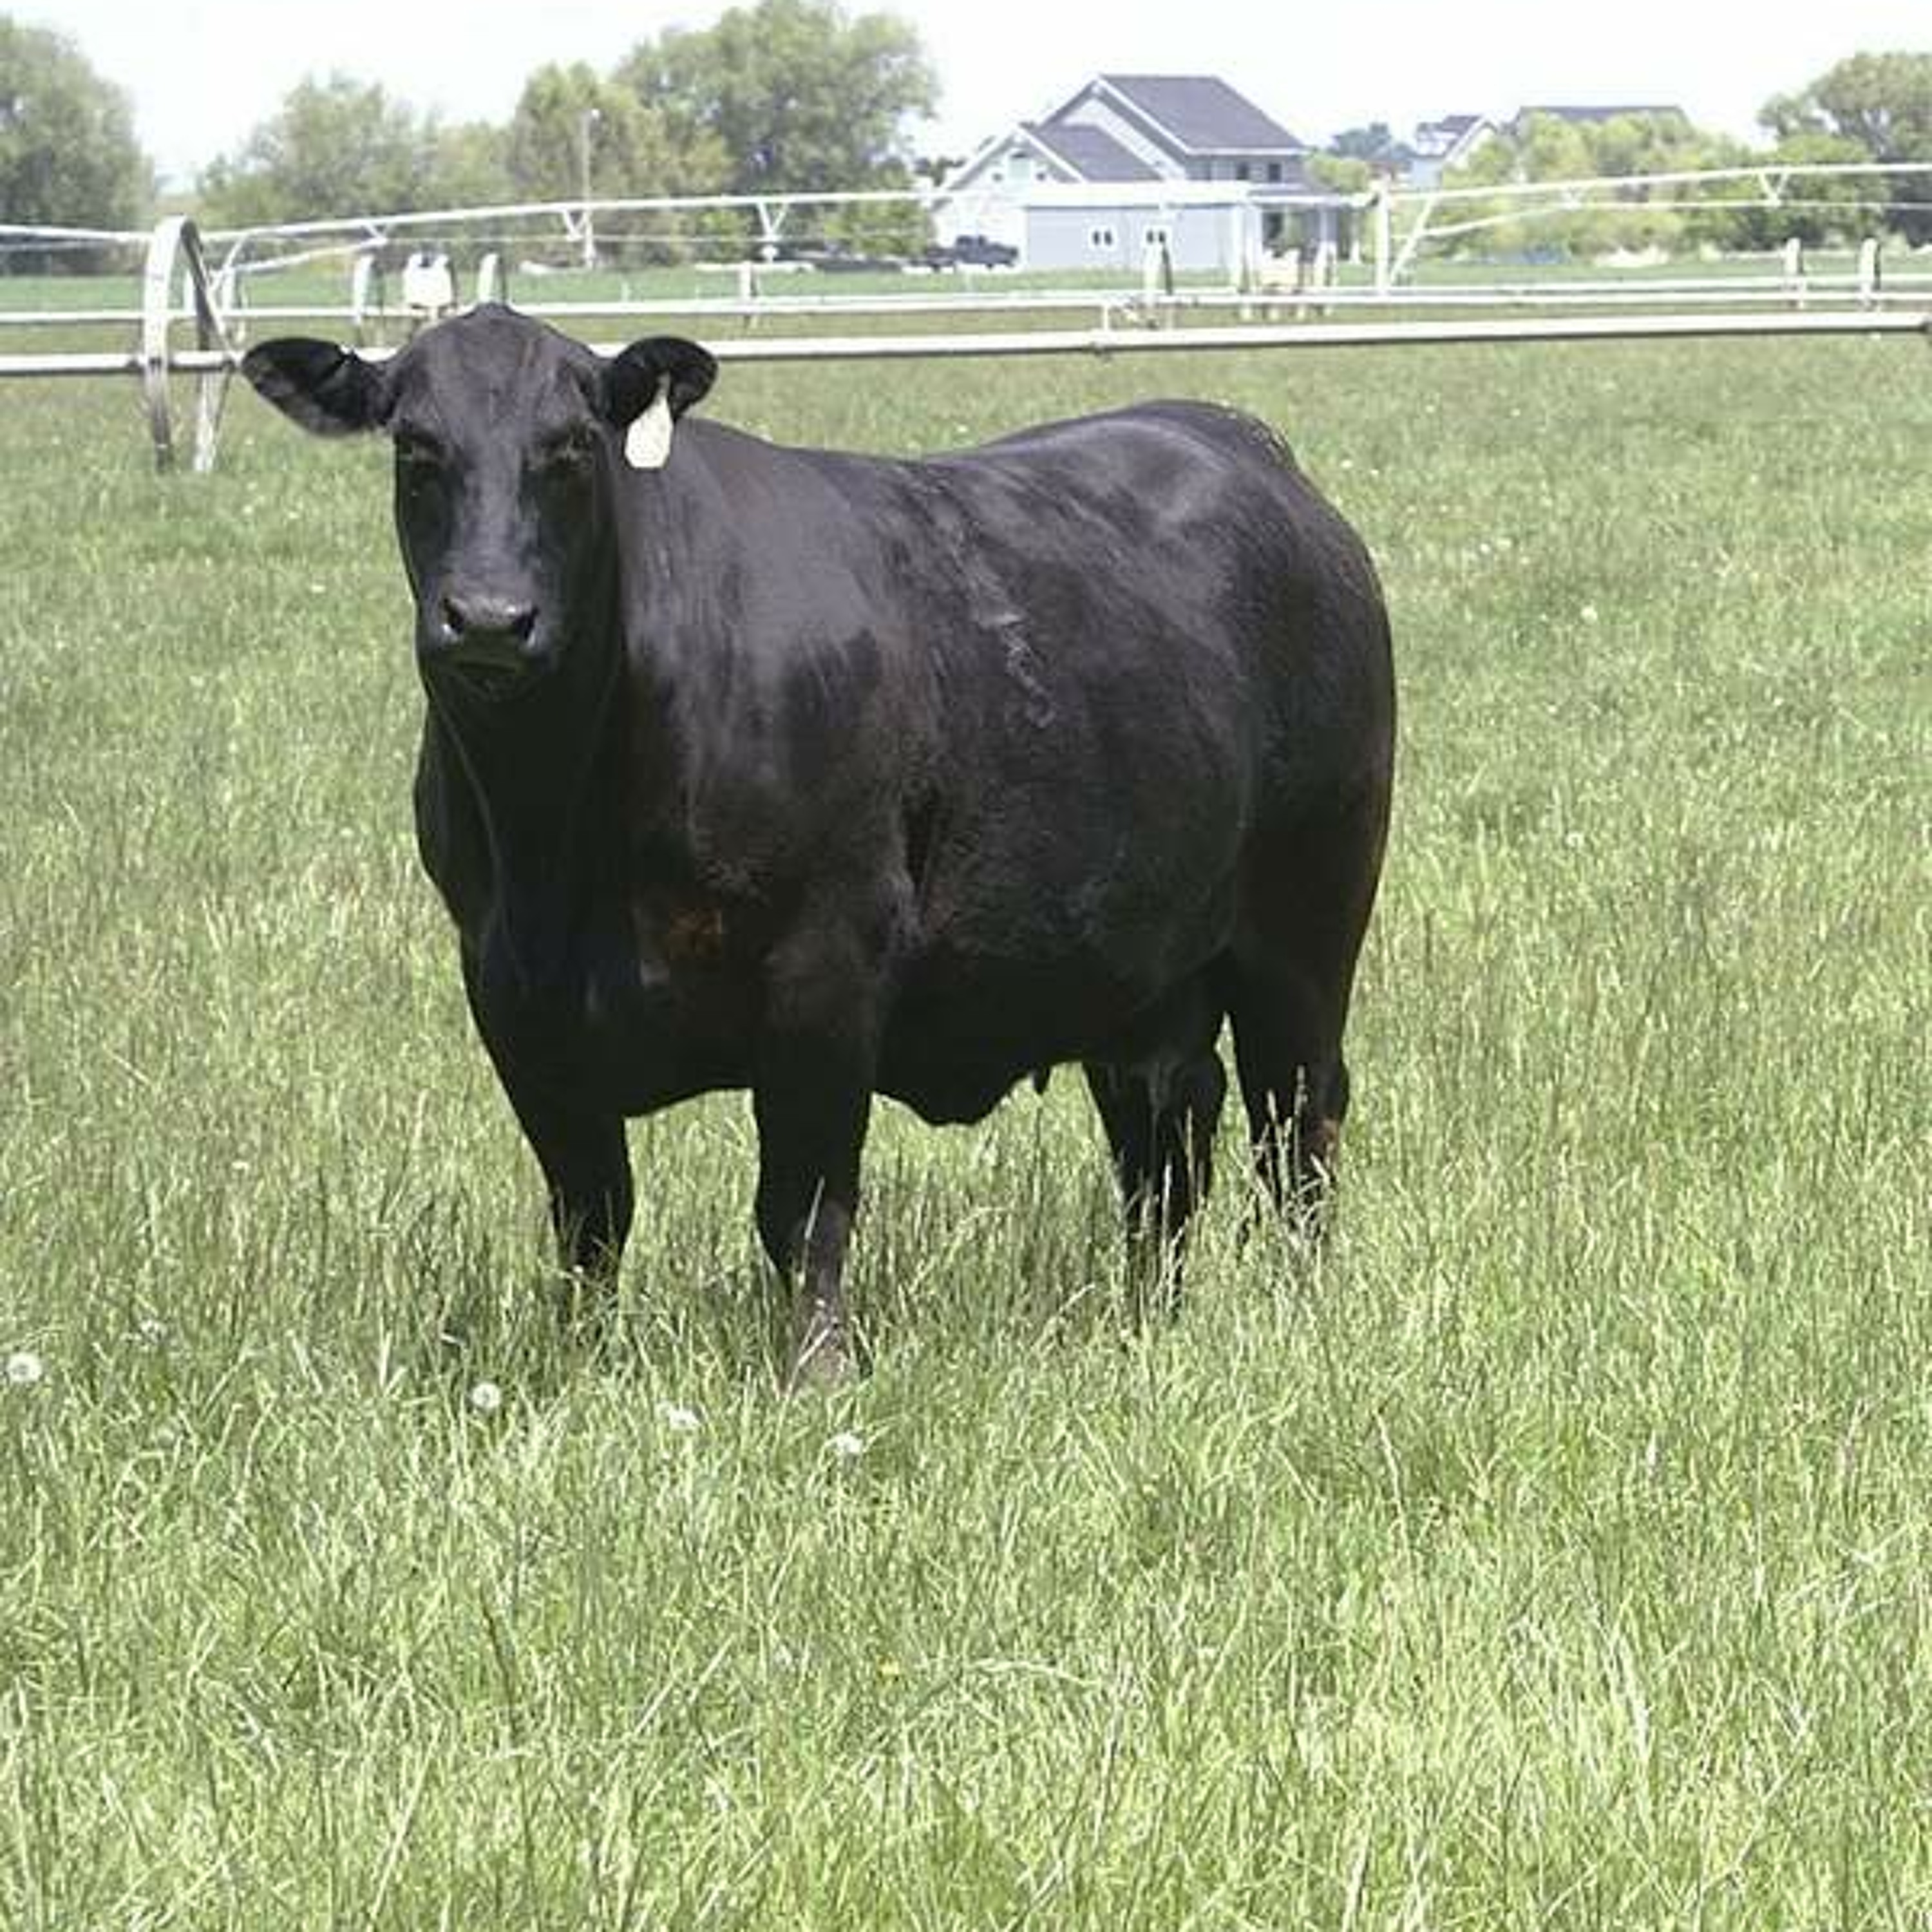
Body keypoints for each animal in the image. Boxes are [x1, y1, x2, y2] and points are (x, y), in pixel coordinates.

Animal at [242, 307, 1394, 1383]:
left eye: (571, 448)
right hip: (1135, 965)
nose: (487, 618)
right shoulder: (510, 996)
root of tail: (1239, 442)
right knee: (1166, 1136)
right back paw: (1150, 1313)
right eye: (416, 450)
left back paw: (1294, 1304)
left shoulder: (826, 969)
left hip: (1306, 924)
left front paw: (818, 1373)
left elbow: (802, 1205)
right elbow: (590, 1213)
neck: (559, 834)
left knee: (1297, 1120)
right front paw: (579, 1361)